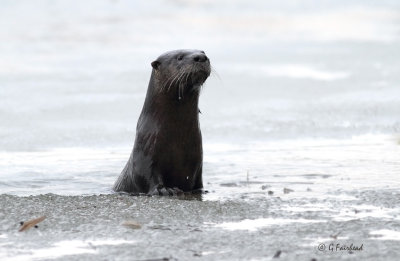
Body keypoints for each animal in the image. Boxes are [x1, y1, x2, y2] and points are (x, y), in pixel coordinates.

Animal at [112, 49, 211, 195]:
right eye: (179, 57)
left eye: (203, 51)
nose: (201, 57)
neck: (177, 136)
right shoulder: (145, 154)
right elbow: (147, 176)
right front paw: (165, 190)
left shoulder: (197, 160)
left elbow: (198, 181)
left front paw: (200, 191)